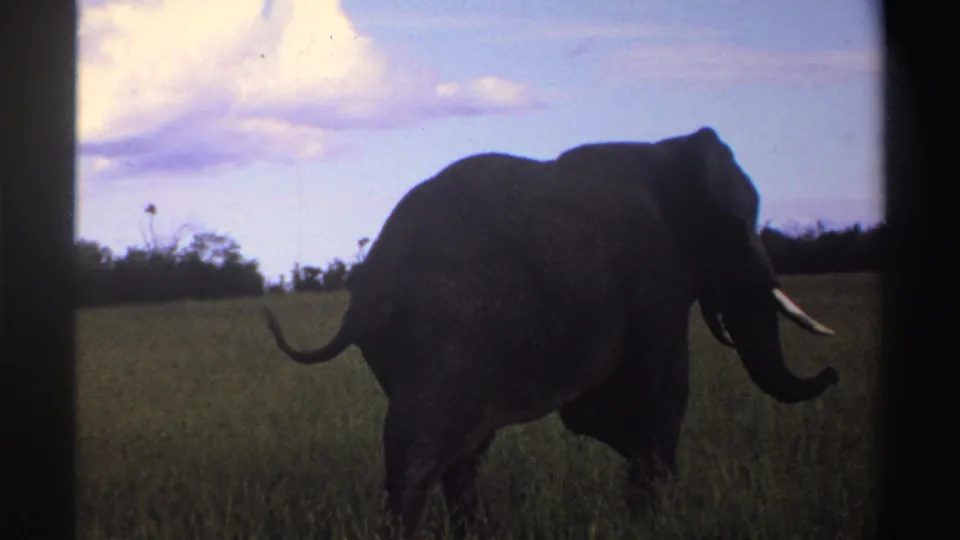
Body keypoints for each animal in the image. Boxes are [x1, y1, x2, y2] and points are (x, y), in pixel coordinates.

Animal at [263, 126, 839, 539]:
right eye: (738, 227)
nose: (832, 372)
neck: (668, 151)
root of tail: (368, 284)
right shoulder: (656, 280)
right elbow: (660, 391)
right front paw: (654, 517)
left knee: (459, 454)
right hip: (446, 333)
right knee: (419, 453)